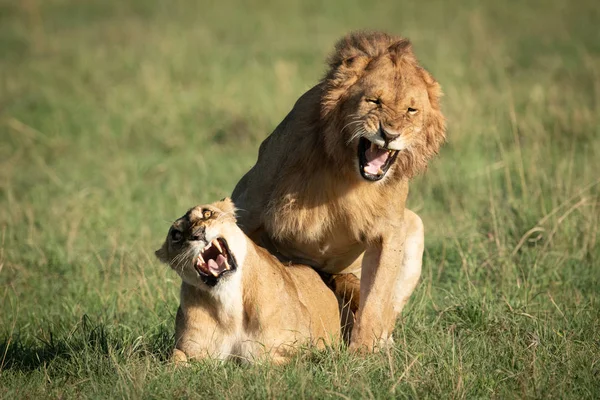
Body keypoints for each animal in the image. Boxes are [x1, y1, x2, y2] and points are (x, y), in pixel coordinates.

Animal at [156, 198, 342, 364]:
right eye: (176, 235)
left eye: (207, 213)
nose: (198, 234)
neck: (229, 303)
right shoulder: (189, 350)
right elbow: (175, 359)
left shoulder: (298, 351)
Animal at [230, 31, 446, 352]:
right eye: (374, 101)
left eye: (411, 110)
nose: (390, 134)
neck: (348, 174)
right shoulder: (247, 209)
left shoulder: (388, 231)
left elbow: (376, 298)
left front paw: (364, 352)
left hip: (414, 226)